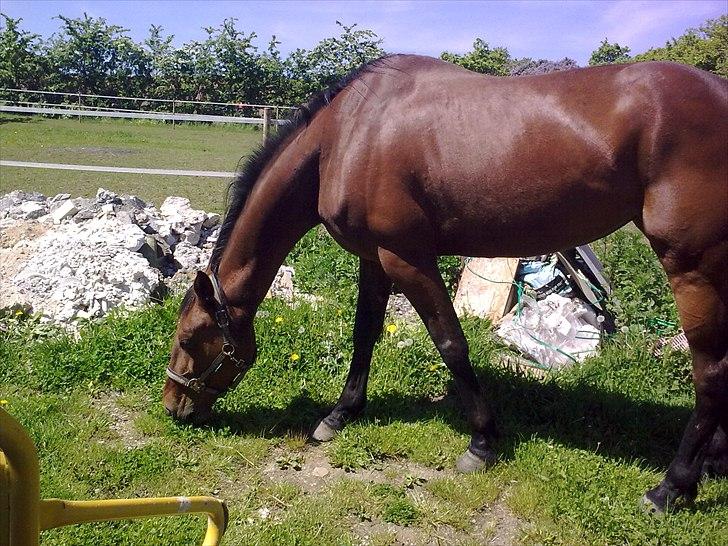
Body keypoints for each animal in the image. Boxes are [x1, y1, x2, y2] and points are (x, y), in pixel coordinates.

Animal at [165, 54, 728, 510]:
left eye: (190, 338)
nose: (173, 406)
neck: (346, 134)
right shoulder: (375, 259)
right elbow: (364, 334)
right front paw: (341, 414)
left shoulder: (408, 259)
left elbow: (451, 343)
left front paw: (482, 442)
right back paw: (712, 461)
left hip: (693, 265)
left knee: (710, 371)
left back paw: (671, 487)